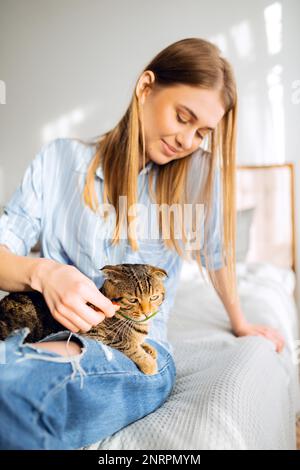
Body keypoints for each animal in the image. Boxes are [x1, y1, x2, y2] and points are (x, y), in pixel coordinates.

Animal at [0, 264, 169, 374]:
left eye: (154, 297)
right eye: (133, 300)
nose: (147, 313)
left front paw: (148, 347)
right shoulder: (96, 334)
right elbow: (128, 345)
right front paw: (148, 362)